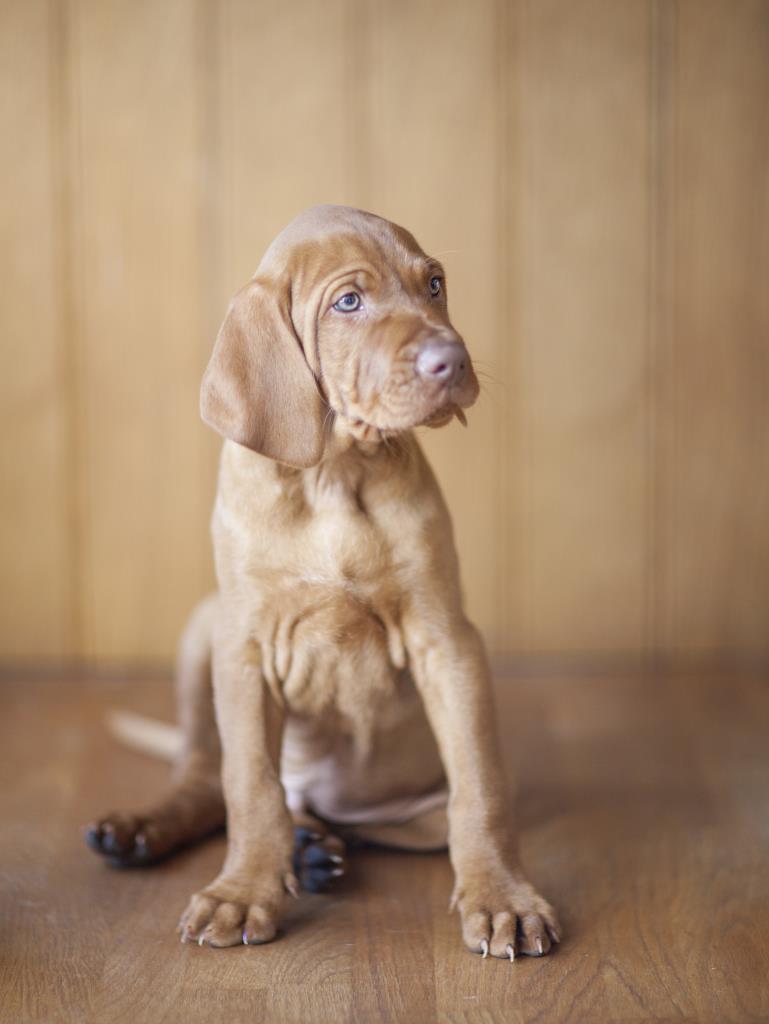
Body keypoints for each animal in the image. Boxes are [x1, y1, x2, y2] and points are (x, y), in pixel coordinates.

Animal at [87, 207, 561, 958]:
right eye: (348, 302)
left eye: (433, 284)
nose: (451, 360)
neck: (335, 473)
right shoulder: (243, 650)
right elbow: (248, 786)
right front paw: (242, 893)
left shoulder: (447, 642)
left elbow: (480, 788)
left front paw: (502, 898)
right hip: (202, 629)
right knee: (206, 779)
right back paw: (149, 832)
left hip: (400, 808)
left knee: (374, 821)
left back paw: (315, 849)